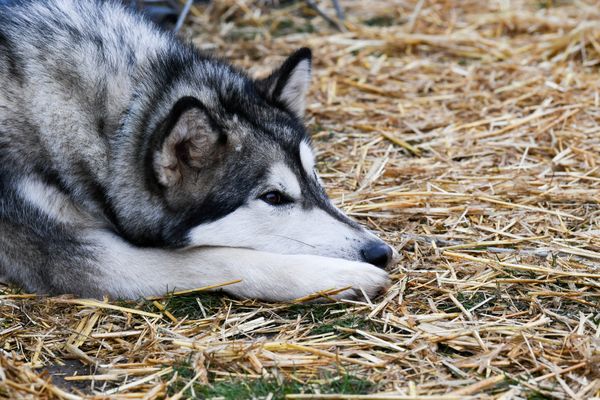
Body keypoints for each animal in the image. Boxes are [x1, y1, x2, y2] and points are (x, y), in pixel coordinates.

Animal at [0, 0, 394, 300]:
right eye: (274, 197)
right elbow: (216, 259)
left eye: (315, 178)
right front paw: (340, 276)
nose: (380, 253)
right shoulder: (73, 258)